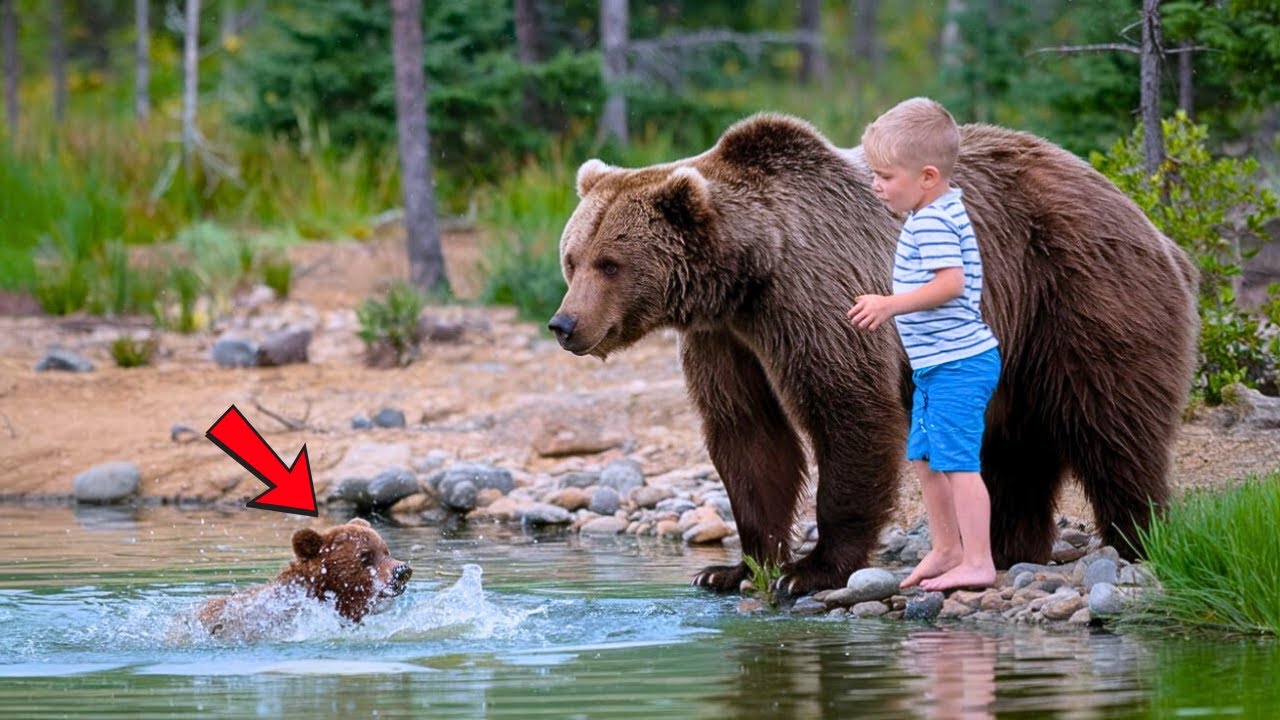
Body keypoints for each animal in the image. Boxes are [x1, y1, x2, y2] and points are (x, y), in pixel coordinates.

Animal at [547, 113, 1197, 598]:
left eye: (611, 263)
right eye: (573, 258)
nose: (564, 324)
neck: (748, 274)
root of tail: (1152, 223)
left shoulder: (815, 296)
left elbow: (848, 410)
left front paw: (810, 570)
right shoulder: (725, 340)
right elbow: (749, 435)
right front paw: (733, 568)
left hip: (1081, 294)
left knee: (1112, 422)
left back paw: (1136, 537)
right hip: (1018, 346)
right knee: (1013, 447)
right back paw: (1010, 545)